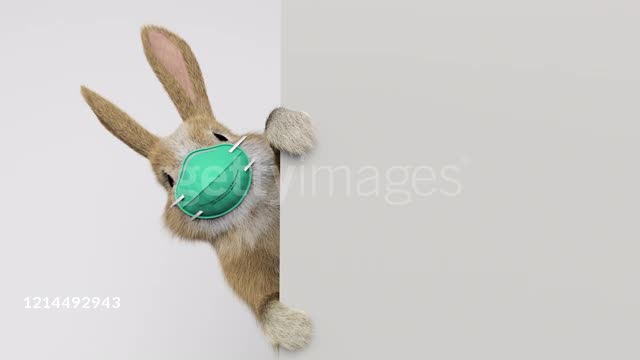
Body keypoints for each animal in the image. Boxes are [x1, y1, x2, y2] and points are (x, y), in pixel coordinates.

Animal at [80, 24, 316, 348]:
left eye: (220, 136)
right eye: (167, 179)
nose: (208, 177)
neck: (254, 214)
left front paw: (294, 129)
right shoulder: (241, 266)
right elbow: (264, 301)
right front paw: (295, 329)